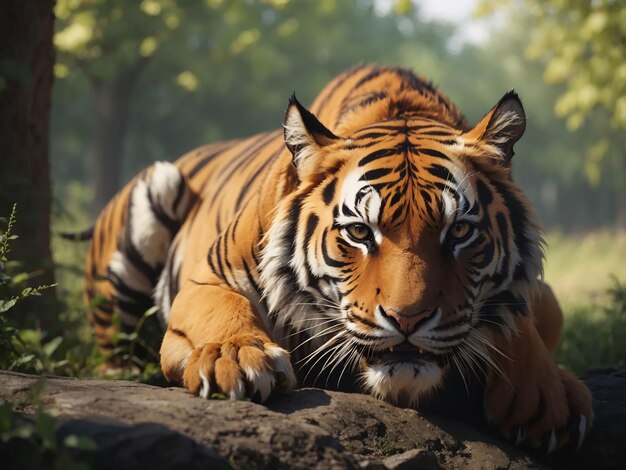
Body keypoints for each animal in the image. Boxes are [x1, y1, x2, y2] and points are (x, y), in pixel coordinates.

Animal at [78, 64, 588, 454]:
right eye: (360, 232)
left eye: (459, 231)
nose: (408, 319)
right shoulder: (210, 276)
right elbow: (223, 310)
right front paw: (236, 356)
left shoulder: (539, 295)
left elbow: (521, 317)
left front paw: (546, 394)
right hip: (154, 192)